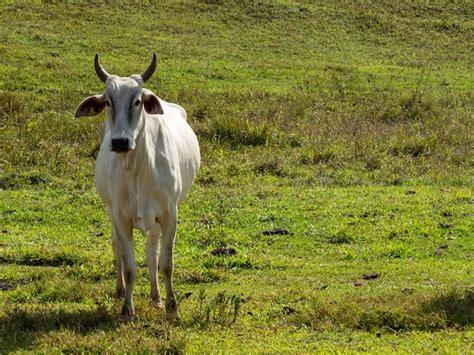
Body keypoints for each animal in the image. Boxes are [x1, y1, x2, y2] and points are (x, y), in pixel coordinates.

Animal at [74, 53, 200, 322]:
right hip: (111, 211)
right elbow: (130, 265)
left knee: (152, 253)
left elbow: (165, 263)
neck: (136, 169)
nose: (120, 141)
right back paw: (121, 290)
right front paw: (127, 309)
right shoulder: (121, 217)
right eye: (107, 102)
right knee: (117, 247)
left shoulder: (170, 214)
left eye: (138, 101)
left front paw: (172, 306)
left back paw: (156, 297)